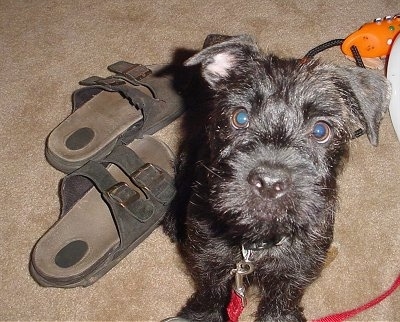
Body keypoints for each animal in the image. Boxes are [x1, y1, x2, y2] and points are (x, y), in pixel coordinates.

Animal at [162, 35, 388, 322]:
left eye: (320, 130)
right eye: (240, 117)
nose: (269, 182)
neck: (256, 243)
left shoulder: (295, 273)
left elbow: (281, 302)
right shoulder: (209, 260)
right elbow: (209, 292)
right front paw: (199, 315)